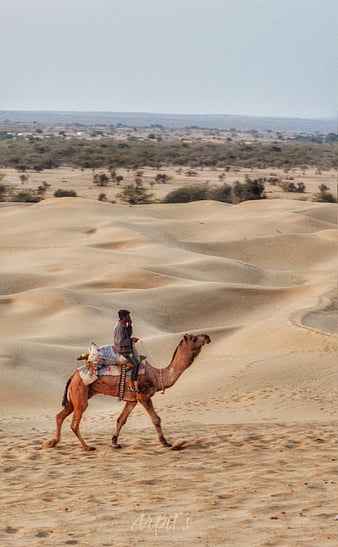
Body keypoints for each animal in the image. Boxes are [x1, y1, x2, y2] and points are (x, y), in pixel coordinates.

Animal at [41, 332, 211, 452]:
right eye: (194, 338)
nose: (207, 337)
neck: (159, 375)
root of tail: (72, 376)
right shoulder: (143, 395)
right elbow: (156, 419)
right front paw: (166, 442)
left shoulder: (132, 399)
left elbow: (121, 419)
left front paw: (114, 442)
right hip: (80, 391)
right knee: (74, 423)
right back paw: (87, 447)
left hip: (77, 395)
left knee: (60, 415)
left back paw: (52, 443)